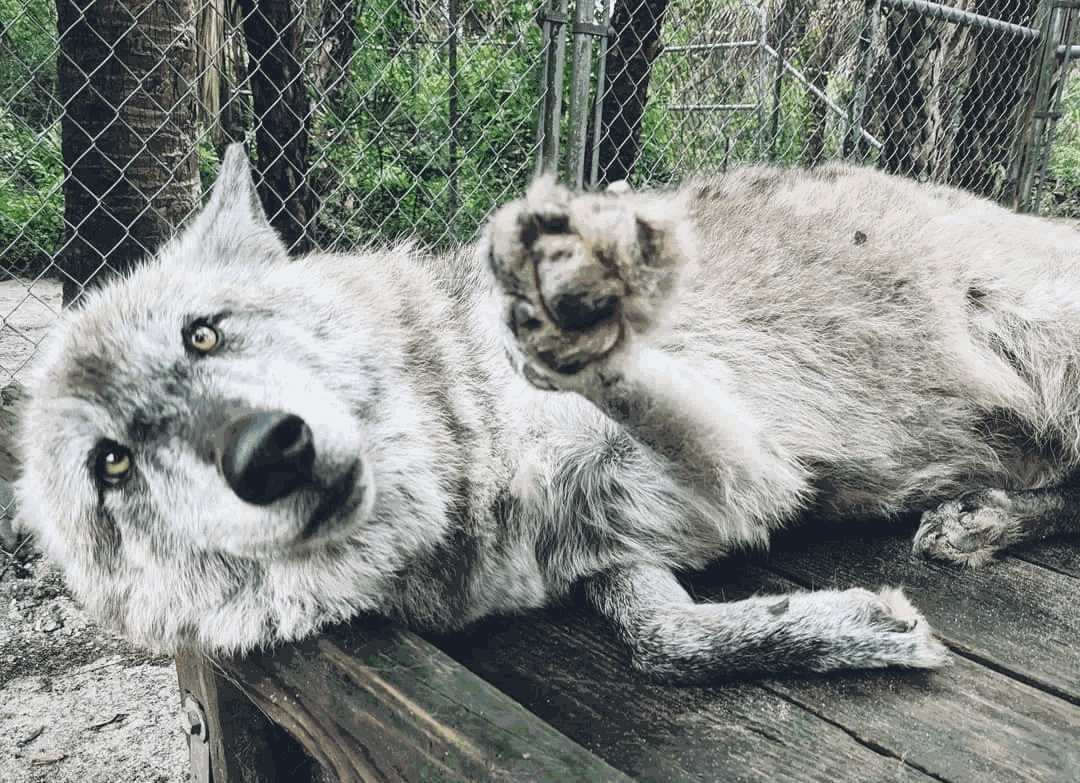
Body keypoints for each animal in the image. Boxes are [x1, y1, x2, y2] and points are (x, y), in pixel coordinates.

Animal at [12, 143, 1080, 682]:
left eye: (203, 334)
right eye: (111, 463)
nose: (268, 450)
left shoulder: (747, 461)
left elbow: (606, 366)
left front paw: (563, 299)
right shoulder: (634, 545)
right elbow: (666, 646)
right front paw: (848, 627)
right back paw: (979, 519)